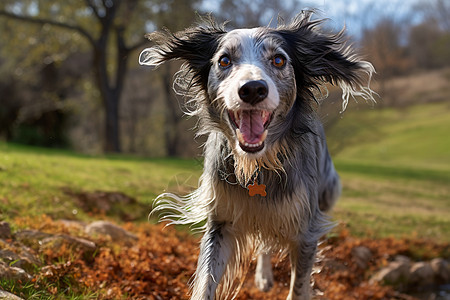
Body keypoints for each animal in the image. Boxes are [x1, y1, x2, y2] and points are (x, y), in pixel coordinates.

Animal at [139, 11, 374, 300]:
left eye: (278, 59)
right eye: (224, 60)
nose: (252, 89)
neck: (257, 166)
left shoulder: (305, 232)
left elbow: (298, 287)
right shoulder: (221, 221)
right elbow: (206, 281)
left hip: (329, 190)